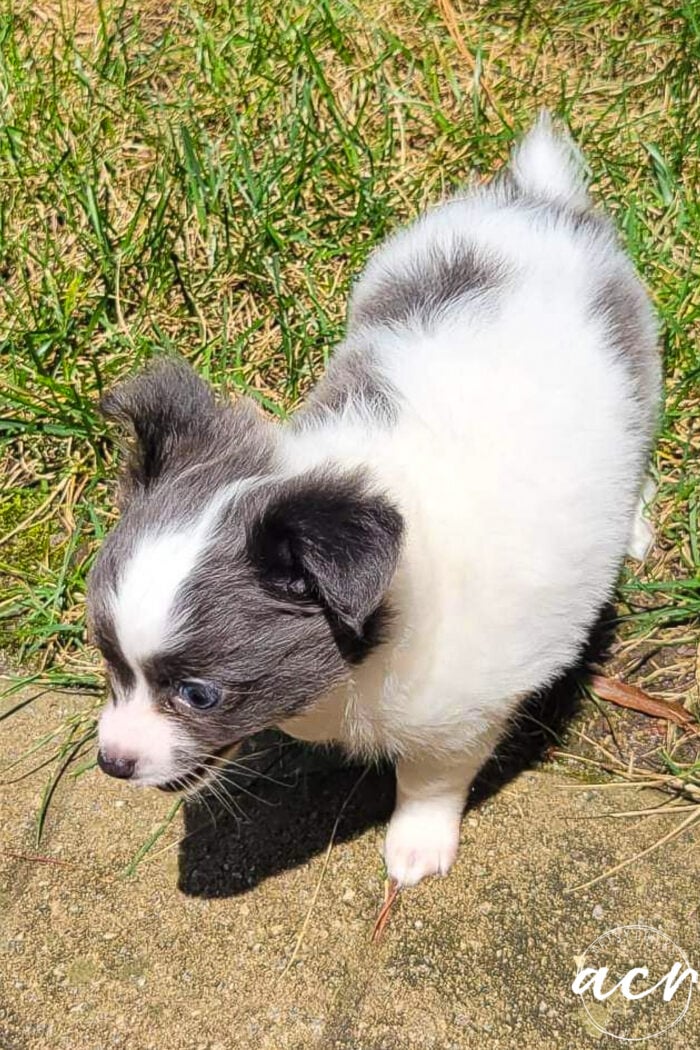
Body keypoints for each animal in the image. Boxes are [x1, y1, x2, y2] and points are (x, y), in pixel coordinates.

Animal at [90, 114, 659, 886]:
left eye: (198, 694)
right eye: (109, 663)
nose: (110, 763)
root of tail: (537, 203)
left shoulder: (460, 718)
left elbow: (430, 779)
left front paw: (416, 846)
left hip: (640, 369)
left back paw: (633, 526)